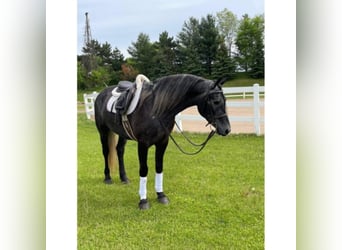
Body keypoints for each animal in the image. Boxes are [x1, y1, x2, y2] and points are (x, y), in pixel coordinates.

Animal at [95, 73, 231, 209]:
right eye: (216, 101)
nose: (227, 129)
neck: (155, 109)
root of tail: (101, 94)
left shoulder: (163, 142)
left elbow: (159, 167)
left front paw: (161, 195)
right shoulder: (143, 144)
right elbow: (144, 169)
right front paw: (143, 201)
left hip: (122, 134)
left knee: (119, 150)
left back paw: (124, 178)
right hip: (103, 131)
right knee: (106, 152)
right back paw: (107, 177)